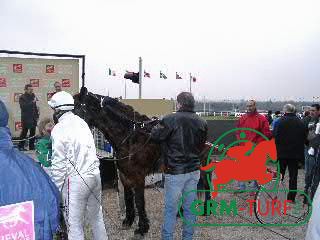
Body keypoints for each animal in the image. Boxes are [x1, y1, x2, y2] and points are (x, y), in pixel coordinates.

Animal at [73, 88, 211, 238]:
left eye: (77, 107)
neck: (130, 137)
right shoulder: (124, 176)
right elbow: (128, 198)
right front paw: (128, 221)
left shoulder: (138, 177)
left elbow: (139, 201)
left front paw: (142, 228)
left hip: (202, 169)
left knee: (207, 186)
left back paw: (207, 211)